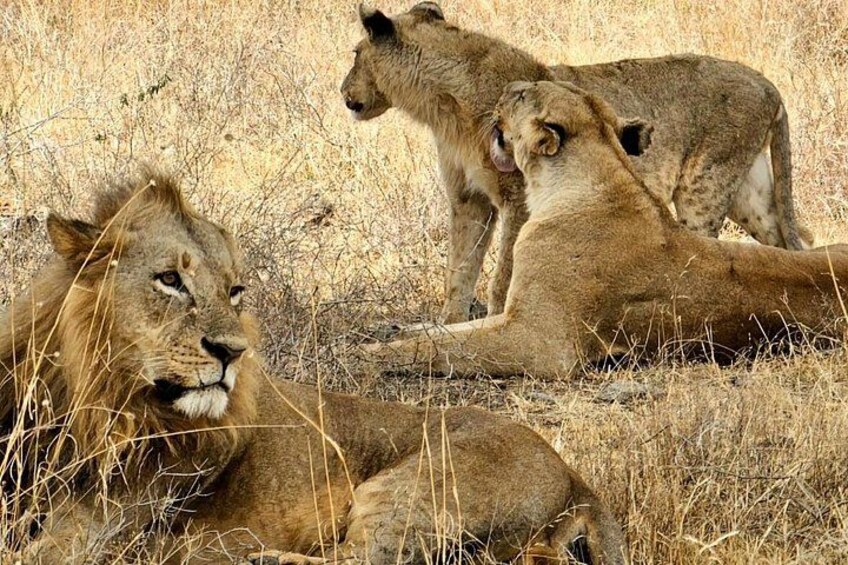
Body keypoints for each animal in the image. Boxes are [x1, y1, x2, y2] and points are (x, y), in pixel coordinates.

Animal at [0, 171, 627, 564]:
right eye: (170, 279)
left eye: (234, 291)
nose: (232, 353)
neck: (96, 404)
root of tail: (574, 474)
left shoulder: (97, 533)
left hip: (418, 485)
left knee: (362, 561)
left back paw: (258, 558)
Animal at [341, 2, 811, 324]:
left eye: (355, 54)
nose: (343, 93)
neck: (443, 107)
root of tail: (769, 84)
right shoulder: (468, 200)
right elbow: (459, 270)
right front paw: (450, 325)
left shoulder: (518, 197)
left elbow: (503, 272)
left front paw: (497, 320)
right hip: (749, 196)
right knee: (791, 241)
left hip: (704, 188)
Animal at [361, 81, 848, 381]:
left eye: (521, 95)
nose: (503, 91)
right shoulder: (517, 314)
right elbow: (446, 333)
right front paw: (397, 332)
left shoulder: (541, 343)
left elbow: (446, 350)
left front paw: (376, 354)